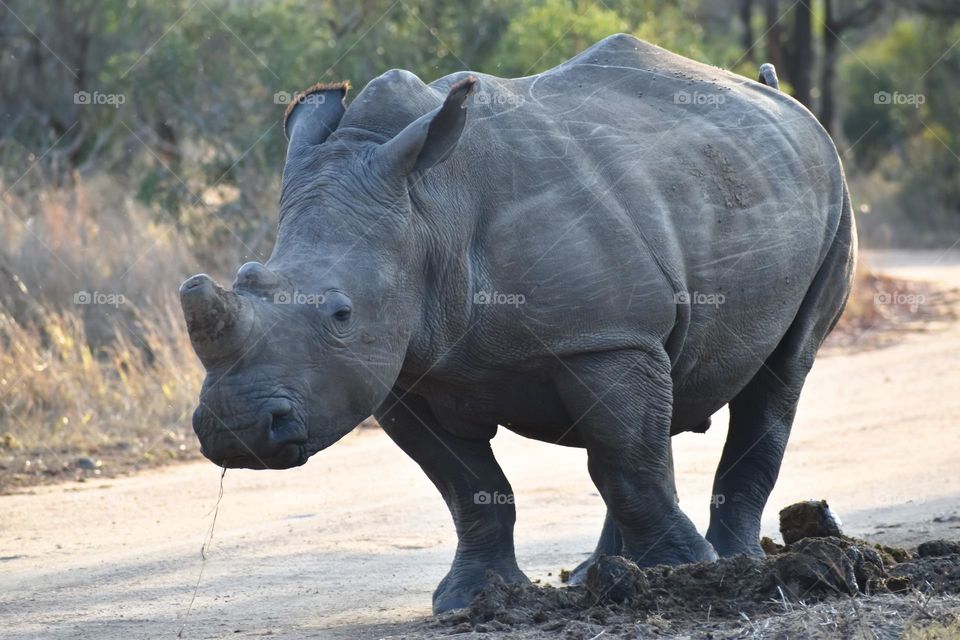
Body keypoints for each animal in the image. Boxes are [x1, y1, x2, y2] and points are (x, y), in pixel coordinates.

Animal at [180, 34, 856, 613]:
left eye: (342, 314)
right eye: (245, 280)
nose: (235, 429)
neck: (430, 211)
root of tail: (778, 97)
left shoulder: (599, 339)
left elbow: (625, 463)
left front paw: (686, 573)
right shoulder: (404, 370)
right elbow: (470, 486)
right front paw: (468, 599)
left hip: (832, 201)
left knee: (778, 375)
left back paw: (732, 565)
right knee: (651, 411)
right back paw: (601, 575)